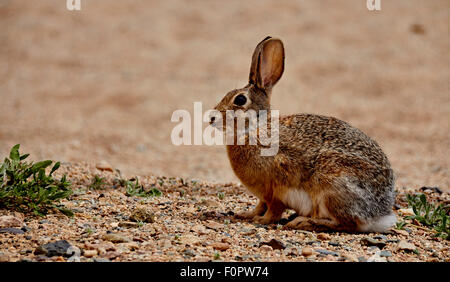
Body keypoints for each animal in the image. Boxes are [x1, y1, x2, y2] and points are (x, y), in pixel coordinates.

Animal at [210, 36, 394, 232]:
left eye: (240, 99)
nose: (211, 118)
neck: (255, 128)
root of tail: (379, 215)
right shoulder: (263, 195)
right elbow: (260, 205)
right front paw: (247, 214)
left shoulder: (276, 188)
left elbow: (273, 209)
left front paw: (262, 220)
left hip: (332, 186)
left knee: (346, 223)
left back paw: (303, 221)